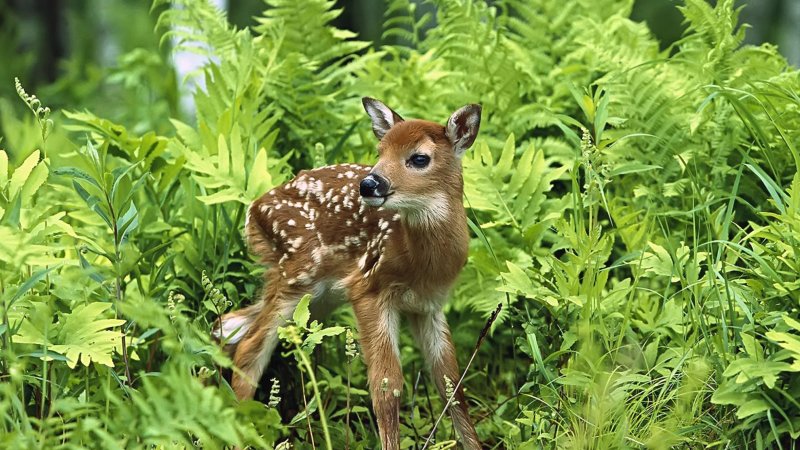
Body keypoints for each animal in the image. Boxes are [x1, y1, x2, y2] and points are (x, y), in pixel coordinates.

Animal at [212, 96, 484, 448]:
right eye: (380, 151)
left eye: (419, 158)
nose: (369, 183)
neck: (419, 264)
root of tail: (253, 209)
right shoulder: (368, 288)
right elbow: (387, 386)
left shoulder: (429, 306)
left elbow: (452, 383)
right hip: (297, 273)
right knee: (249, 346)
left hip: (315, 295)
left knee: (230, 325)